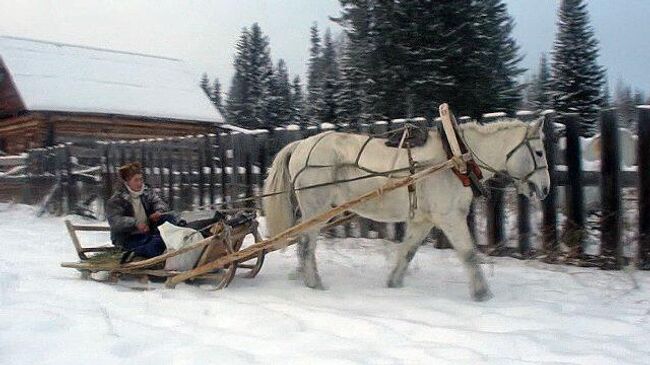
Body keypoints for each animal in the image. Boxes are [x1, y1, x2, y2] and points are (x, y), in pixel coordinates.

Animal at [262, 118, 548, 300]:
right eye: (539, 152)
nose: (545, 188)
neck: (455, 159)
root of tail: (301, 145)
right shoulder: (450, 218)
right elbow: (469, 254)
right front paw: (482, 294)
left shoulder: (423, 221)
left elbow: (407, 252)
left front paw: (394, 283)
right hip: (316, 209)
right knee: (306, 246)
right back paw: (315, 284)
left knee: (303, 245)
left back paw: (302, 277)